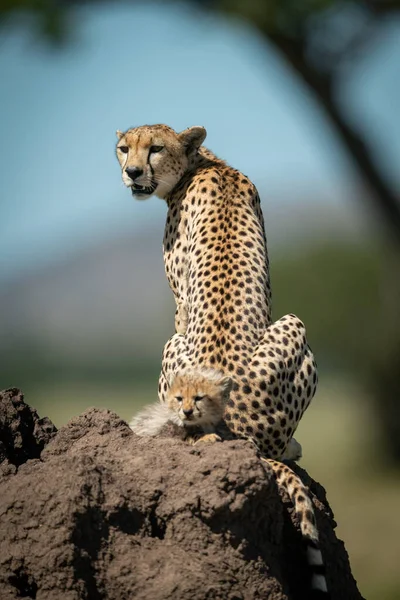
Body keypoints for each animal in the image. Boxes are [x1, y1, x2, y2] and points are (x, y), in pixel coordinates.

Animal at [115, 124, 318, 458]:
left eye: (156, 148)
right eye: (123, 148)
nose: (132, 172)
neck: (205, 163)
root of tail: (236, 424)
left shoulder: (181, 304)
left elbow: (181, 314)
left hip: (289, 324)